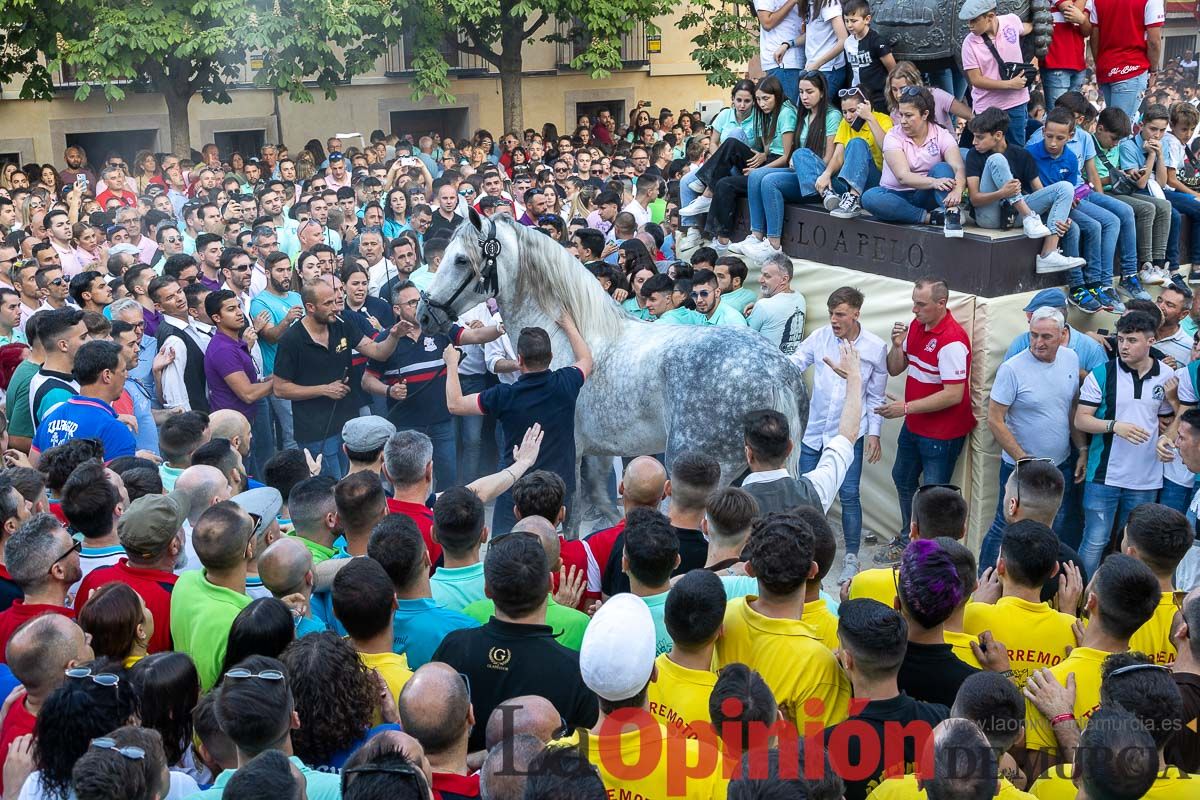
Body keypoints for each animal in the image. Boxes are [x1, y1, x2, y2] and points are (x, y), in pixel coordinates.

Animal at [417, 211, 811, 532]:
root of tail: (775, 371)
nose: (424, 315)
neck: (570, 335)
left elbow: (572, 510)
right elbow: (599, 497)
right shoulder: (598, 450)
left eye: (461, 259)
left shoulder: (570, 450)